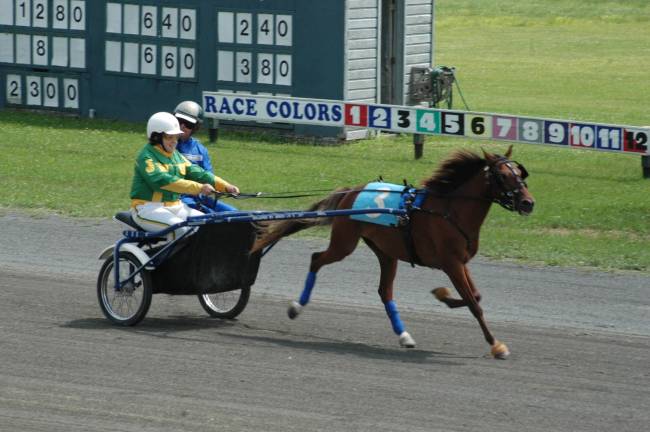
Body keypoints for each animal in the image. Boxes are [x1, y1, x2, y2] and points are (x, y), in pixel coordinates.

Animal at [252, 147, 532, 360]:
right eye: (503, 175)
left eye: (520, 173)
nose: (528, 202)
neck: (449, 211)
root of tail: (352, 191)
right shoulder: (451, 263)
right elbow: (474, 304)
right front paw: (496, 345)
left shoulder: (461, 262)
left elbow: (475, 296)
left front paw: (442, 295)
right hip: (345, 243)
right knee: (316, 259)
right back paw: (296, 307)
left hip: (386, 252)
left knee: (384, 291)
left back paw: (404, 335)